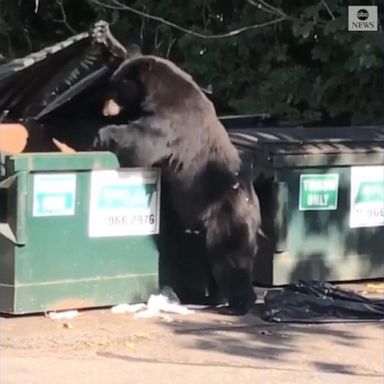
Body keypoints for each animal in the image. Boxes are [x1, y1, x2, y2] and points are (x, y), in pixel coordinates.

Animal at [93, 55, 262, 316]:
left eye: (117, 84)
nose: (105, 105)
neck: (156, 92)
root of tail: (254, 208)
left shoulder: (172, 120)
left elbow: (141, 143)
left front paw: (102, 134)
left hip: (227, 218)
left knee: (230, 259)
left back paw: (238, 303)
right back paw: (216, 296)